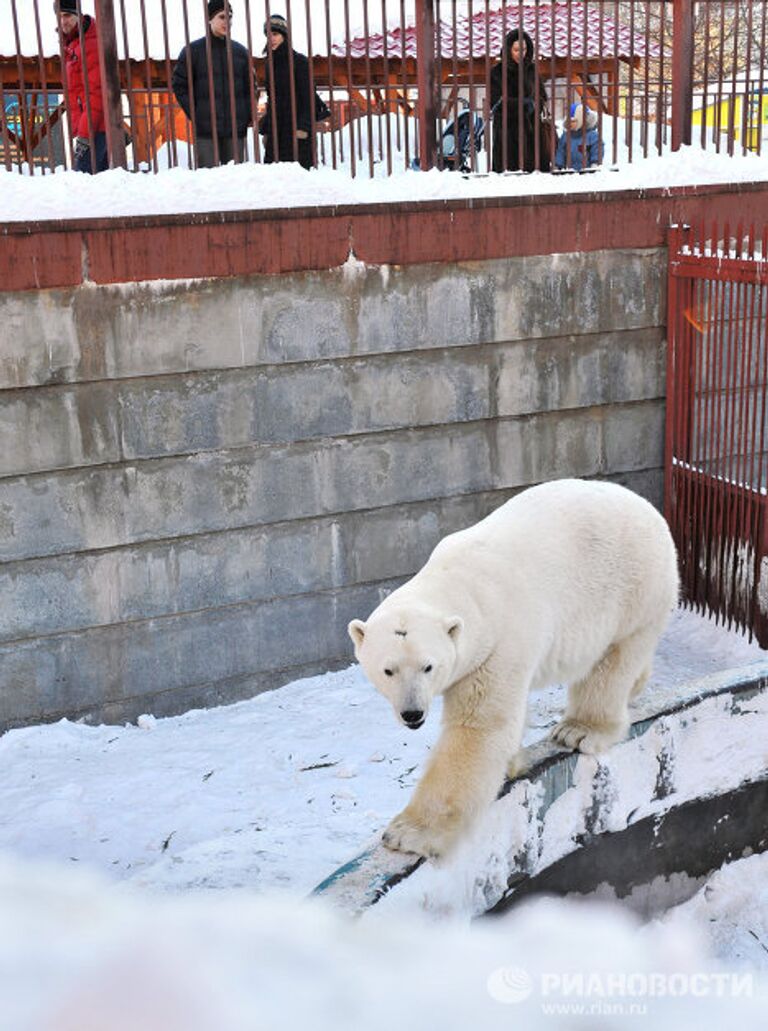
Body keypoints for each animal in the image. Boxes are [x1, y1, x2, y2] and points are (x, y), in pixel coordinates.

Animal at [348, 478, 676, 857]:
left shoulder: (499, 645)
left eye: (428, 667)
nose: (412, 714)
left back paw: (579, 730)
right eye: (388, 670)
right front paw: (510, 764)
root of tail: (648, 508)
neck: (463, 583)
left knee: (613, 661)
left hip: (633, 588)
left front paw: (406, 833)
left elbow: (478, 728)